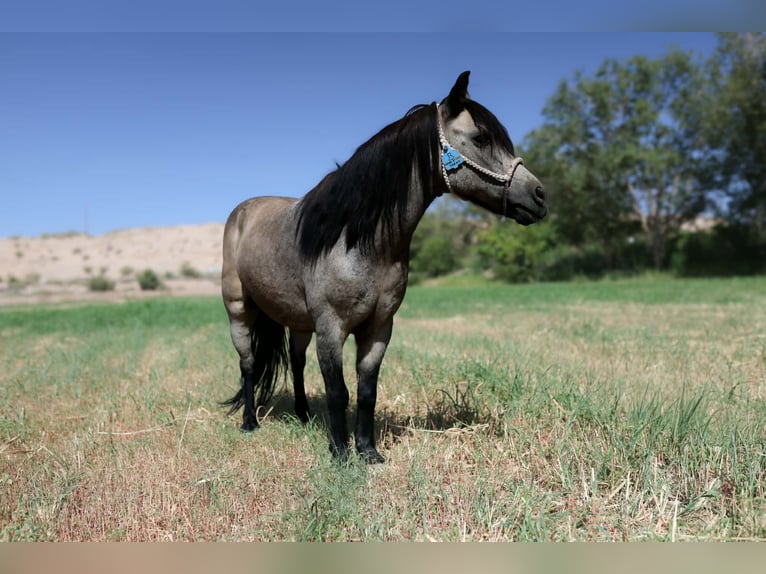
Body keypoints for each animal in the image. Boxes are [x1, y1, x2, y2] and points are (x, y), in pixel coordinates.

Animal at [221, 71, 547, 463]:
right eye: (482, 137)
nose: (540, 195)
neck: (355, 239)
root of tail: (243, 212)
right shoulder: (331, 328)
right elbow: (338, 391)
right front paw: (340, 452)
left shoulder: (379, 328)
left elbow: (366, 391)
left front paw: (368, 451)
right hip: (239, 312)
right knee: (248, 364)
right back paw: (249, 422)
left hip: (298, 321)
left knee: (296, 363)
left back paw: (302, 415)